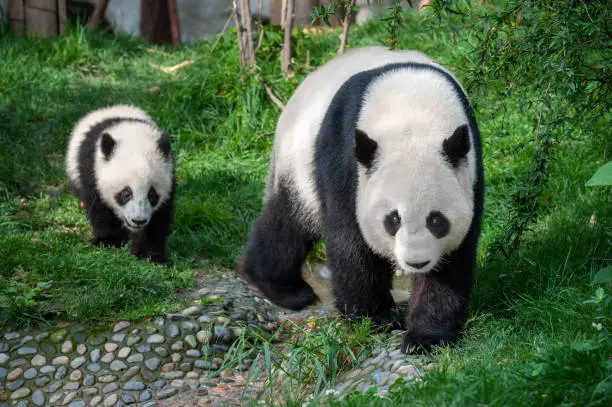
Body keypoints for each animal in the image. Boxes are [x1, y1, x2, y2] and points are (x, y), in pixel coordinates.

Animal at [67, 105, 177, 264]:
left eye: (152, 194)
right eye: (126, 193)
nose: (138, 220)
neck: (134, 139)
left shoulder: (169, 176)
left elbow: (159, 217)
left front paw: (150, 254)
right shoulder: (92, 170)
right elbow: (99, 207)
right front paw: (109, 241)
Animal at [241, 45, 486, 354]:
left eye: (436, 220)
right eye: (393, 219)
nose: (416, 262)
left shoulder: (470, 171)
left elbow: (452, 260)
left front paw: (425, 337)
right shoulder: (346, 157)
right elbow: (351, 242)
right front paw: (375, 318)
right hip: (297, 158)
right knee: (288, 224)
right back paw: (280, 286)